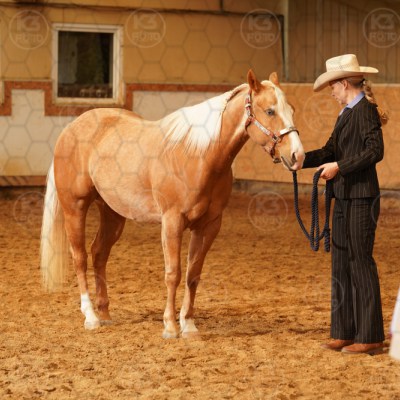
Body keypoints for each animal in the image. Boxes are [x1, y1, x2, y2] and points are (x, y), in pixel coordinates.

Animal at [40, 70, 305, 338]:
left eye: (292, 109)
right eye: (270, 111)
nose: (298, 156)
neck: (199, 156)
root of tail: (71, 128)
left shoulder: (209, 225)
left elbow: (192, 274)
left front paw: (188, 325)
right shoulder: (172, 222)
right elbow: (173, 273)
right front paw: (169, 325)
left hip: (112, 213)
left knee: (99, 253)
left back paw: (104, 313)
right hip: (75, 207)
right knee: (80, 257)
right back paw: (91, 317)